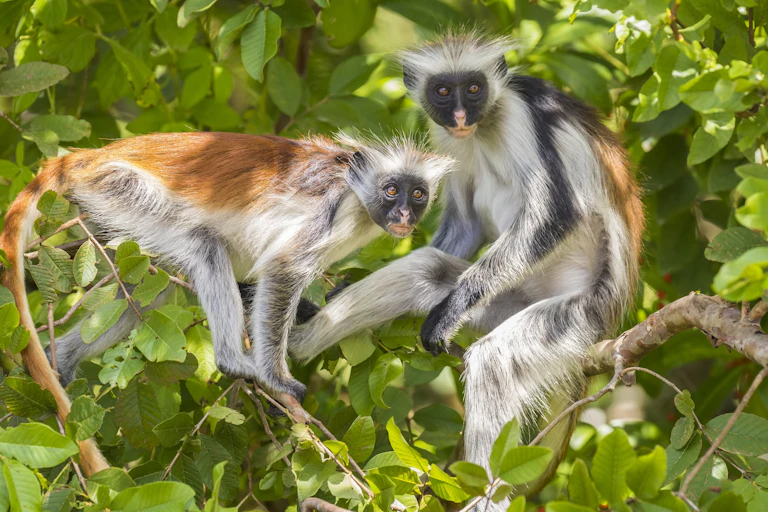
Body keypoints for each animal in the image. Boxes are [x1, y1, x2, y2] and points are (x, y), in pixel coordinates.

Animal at [0, 131, 453, 474]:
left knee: (146, 293)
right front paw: (276, 379)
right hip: (119, 188)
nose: (403, 215)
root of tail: (89, 157)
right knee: (204, 245)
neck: (356, 192)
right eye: (391, 190)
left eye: (417, 194)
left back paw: (60, 361)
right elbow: (282, 269)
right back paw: (233, 361)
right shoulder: (332, 210)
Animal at [288, 33, 643, 502]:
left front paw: (453, 306)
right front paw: (338, 290)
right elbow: (465, 224)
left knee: (494, 360)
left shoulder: (521, 114)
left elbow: (557, 214)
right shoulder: (448, 139)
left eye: (474, 89)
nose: (459, 115)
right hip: (507, 301)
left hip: (579, 312)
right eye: (443, 91)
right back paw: (294, 342)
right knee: (426, 268)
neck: (485, 124)